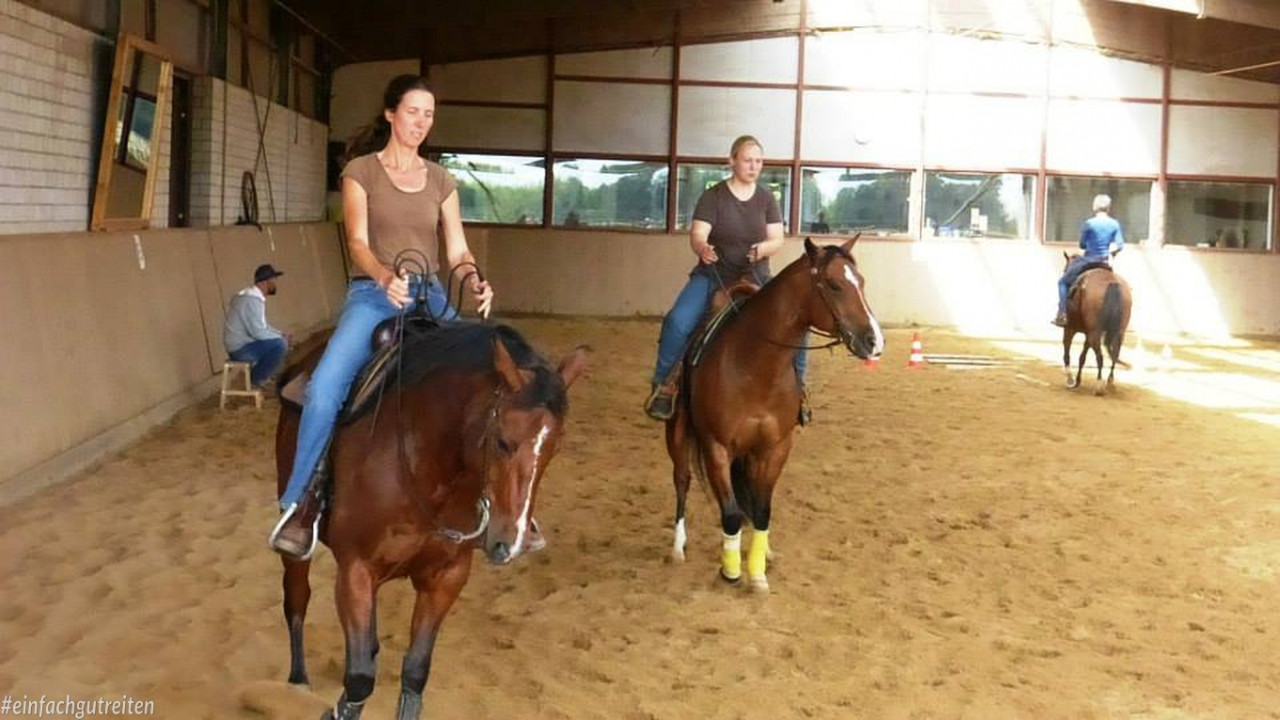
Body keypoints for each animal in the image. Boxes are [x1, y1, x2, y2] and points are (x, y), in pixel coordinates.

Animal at [275, 322, 589, 720]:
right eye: (503, 442)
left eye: (554, 448)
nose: (511, 541)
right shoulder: (355, 569)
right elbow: (359, 679)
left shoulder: (446, 576)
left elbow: (415, 671)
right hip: (295, 544)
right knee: (296, 599)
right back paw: (297, 680)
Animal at [666, 237, 884, 592]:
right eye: (834, 284)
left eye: (861, 282)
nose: (874, 341)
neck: (754, 366)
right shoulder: (716, 446)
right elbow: (730, 514)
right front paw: (731, 571)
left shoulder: (776, 447)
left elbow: (762, 509)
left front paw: (756, 572)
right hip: (677, 433)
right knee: (682, 480)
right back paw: (677, 547)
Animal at [1060, 252, 1132, 396]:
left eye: (1065, 269)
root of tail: (1112, 282)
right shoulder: (1087, 333)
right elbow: (1082, 357)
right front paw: (1077, 381)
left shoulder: (1069, 328)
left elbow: (1067, 351)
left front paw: (1070, 379)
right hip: (1118, 332)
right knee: (1115, 354)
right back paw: (1110, 382)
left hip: (1094, 333)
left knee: (1100, 356)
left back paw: (1099, 385)